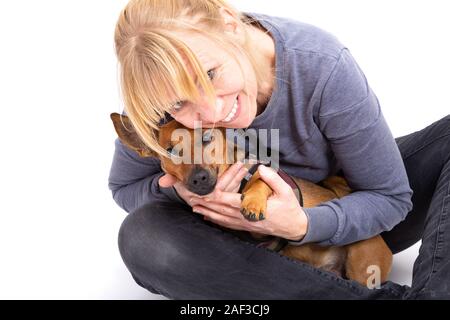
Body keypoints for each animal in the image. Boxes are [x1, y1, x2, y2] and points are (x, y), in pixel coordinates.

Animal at [110, 112, 392, 284]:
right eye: (170, 150)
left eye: (207, 138)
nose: (199, 178)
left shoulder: (268, 176)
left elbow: (260, 181)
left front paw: (252, 203)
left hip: (362, 261)